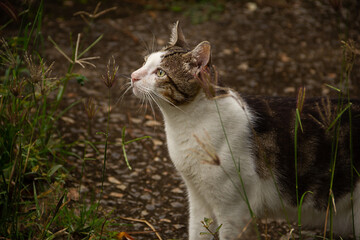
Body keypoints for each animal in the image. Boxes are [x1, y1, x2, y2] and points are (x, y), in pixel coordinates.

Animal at [130, 21, 360, 239]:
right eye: (144, 61)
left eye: (160, 73)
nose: (133, 76)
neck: (184, 124)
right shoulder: (199, 199)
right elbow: (197, 232)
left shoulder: (233, 210)